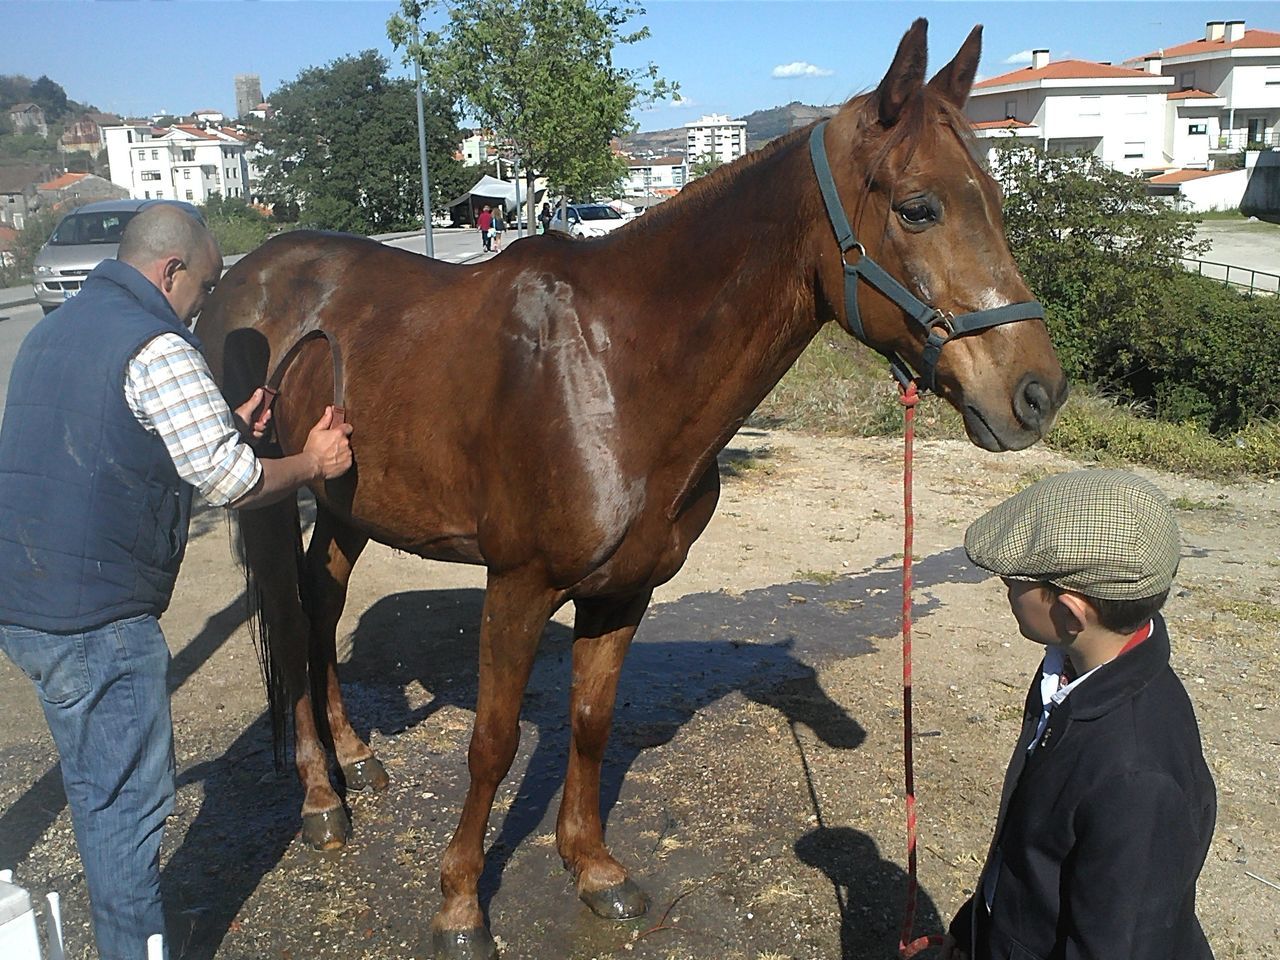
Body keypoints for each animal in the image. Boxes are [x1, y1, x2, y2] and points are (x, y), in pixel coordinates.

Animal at [199, 16, 1070, 960]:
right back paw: (322, 798)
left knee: (321, 605)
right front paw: (461, 904)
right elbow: (492, 744)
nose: (1036, 393)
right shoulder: (518, 585)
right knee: (292, 623)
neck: (611, 370)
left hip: (351, 502)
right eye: (918, 207)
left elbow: (591, 722)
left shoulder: (623, 591)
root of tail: (246, 272)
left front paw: (593, 869)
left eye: (997, 197)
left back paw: (355, 758)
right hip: (269, 502)